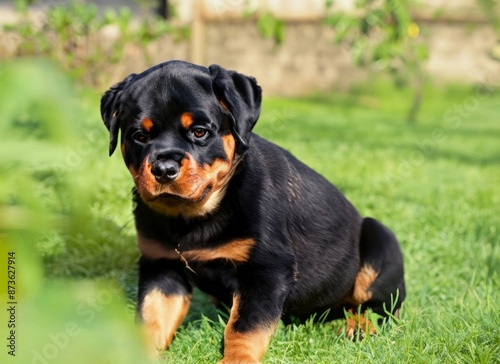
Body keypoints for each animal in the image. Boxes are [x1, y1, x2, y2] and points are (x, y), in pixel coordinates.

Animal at [100, 61, 406, 362]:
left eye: (199, 131)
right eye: (139, 136)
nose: (164, 169)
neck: (194, 216)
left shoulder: (267, 268)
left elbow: (245, 327)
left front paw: (236, 359)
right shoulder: (162, 264)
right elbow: (152, 318)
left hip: (379, 239)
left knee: (377, 309)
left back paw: (359, 329)